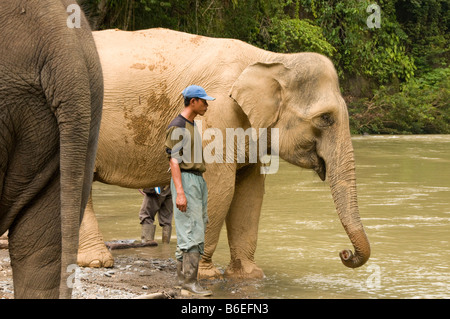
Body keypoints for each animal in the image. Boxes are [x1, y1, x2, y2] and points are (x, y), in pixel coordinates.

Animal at [78, 28, 372, 280]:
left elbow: (250, 193)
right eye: (325, 118)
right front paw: (205, 274)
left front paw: (249, 275)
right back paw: (97, 262)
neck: (270, 59)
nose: (344, 253)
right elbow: (221, 187)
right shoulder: (217, 115)